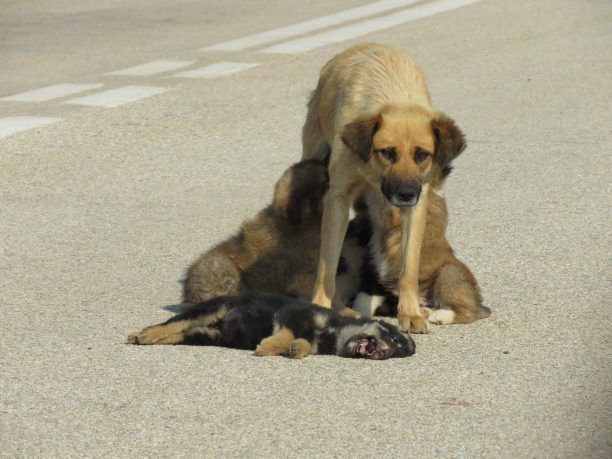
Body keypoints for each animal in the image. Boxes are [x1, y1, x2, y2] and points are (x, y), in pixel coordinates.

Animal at [302, 43, 488, 332]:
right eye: (387, 153)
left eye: (422, 155)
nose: (405, 194)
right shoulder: (338, 199)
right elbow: (327, 267)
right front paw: (323, 308)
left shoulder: (417, 207)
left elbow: (408, 267)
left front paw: (409, 313)